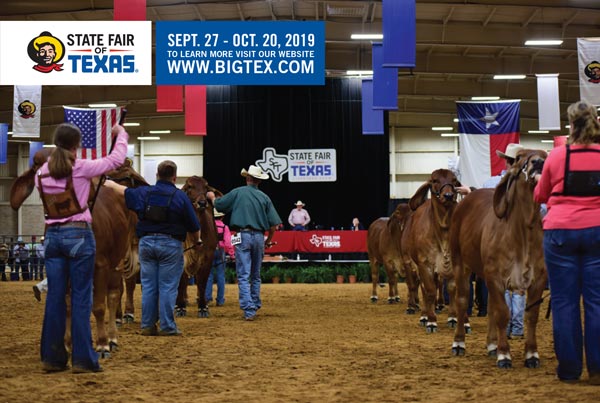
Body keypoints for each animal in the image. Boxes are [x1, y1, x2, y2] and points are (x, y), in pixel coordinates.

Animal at [400, 169, 462, 332]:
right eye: (434, 180)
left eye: (454, 180)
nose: (448, 195)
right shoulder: (424, 264)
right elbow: (429, 291)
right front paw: (431, 321)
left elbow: (452, 289)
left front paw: (452, 318)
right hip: (411, 263)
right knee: (419, 287)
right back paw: (422, 314)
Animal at [450, 148, 548, 370]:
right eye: (520, 157)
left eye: (546, 155)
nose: (538, 163)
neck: (523, 232)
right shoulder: (495, 276)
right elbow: (503, 313)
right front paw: (504, 355)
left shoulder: (538, 278)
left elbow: (531, 315)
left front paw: (531, 354)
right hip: (460, 263)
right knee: (462, 300)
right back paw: (459, 343)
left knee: (491, 306)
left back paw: (492, 345)